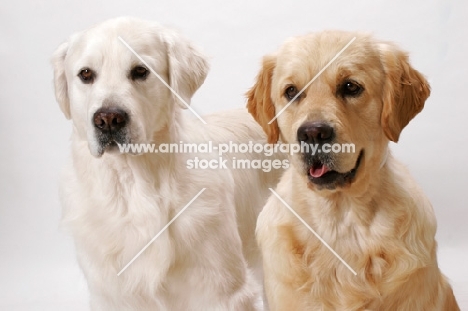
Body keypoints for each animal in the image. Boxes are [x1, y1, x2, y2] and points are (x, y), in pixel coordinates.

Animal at [54, 17, 282, 311]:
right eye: (85, 74)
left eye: (140, 71)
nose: (108, 119)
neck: (136, 185)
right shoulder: (111, 295)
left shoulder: (222, 291)